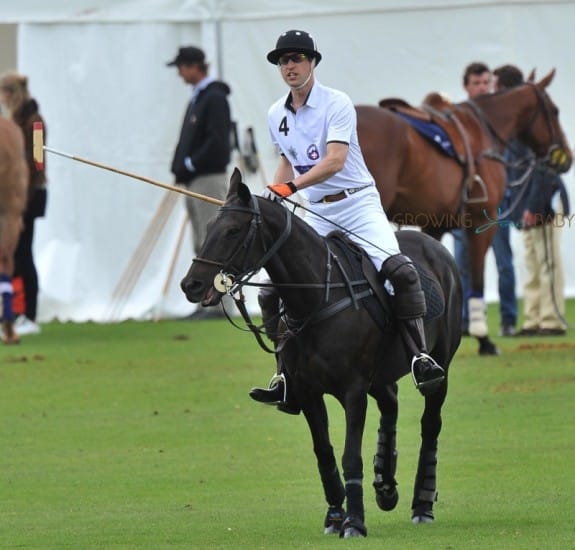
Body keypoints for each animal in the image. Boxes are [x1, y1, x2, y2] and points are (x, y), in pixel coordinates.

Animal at [358, 70, 572, 354]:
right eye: (555, 111)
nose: (567, 157)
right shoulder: (481, 224)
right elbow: (477, 280)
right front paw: (483, 338)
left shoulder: (434, 225)